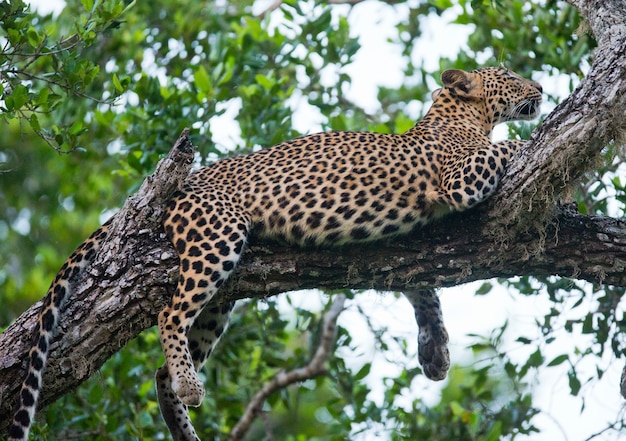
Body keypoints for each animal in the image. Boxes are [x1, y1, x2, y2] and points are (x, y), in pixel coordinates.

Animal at [7, 66, 540, 440]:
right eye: (511, 76)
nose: (538, 87)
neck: (461, 115)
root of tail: (186, 182)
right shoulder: (458, 179)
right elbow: (504, 149)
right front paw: (524, 143)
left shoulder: (410, 242)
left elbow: (423, 290)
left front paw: (435, 354)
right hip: (216, 239)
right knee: (168, 314)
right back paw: (190, 385)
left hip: (219, 300)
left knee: (161, 369)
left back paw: (184, 422)